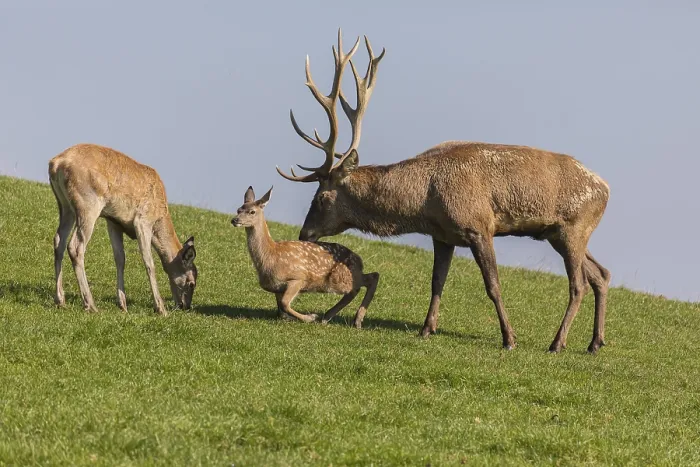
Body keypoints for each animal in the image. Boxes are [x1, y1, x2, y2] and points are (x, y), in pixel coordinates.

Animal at [48, 143, 198, 316]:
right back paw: (90, 304)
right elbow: (149, 262)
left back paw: (60, 300)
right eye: (192, 282)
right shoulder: (143, 221)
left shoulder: (114, 222)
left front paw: (123, 305)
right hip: (88, 206)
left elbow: (120, 258)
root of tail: (56, 163)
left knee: (58, 240)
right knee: (75, 246)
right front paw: (161, 308)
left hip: (65, 206)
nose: (185, 306)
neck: (160, 215)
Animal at [231, 185, 379, 327]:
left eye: (252, 211)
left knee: (370, 278)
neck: (270, 255)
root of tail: (359, 260)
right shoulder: (276, 288)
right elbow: (281, 310)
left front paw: (311, 317)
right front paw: (298, 318)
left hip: (339, 277)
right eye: (238, 209)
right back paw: (328, 317)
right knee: (358, 287)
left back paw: (355, 320)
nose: (234, 220)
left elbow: (285, 304)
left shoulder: (298, 277)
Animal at [276, 29, 611, 353]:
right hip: (559, 233)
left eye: (321, 197)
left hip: (573, 228)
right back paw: (594, 343)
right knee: (601, 274)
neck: (424, 203)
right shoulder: (442, 235)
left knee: (578, 284)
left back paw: (557, 343)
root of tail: (605, 189)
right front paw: (427, 329)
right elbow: (437, 282)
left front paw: (509, 338)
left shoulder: (479, 226)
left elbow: (493, 285)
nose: (304, 233)